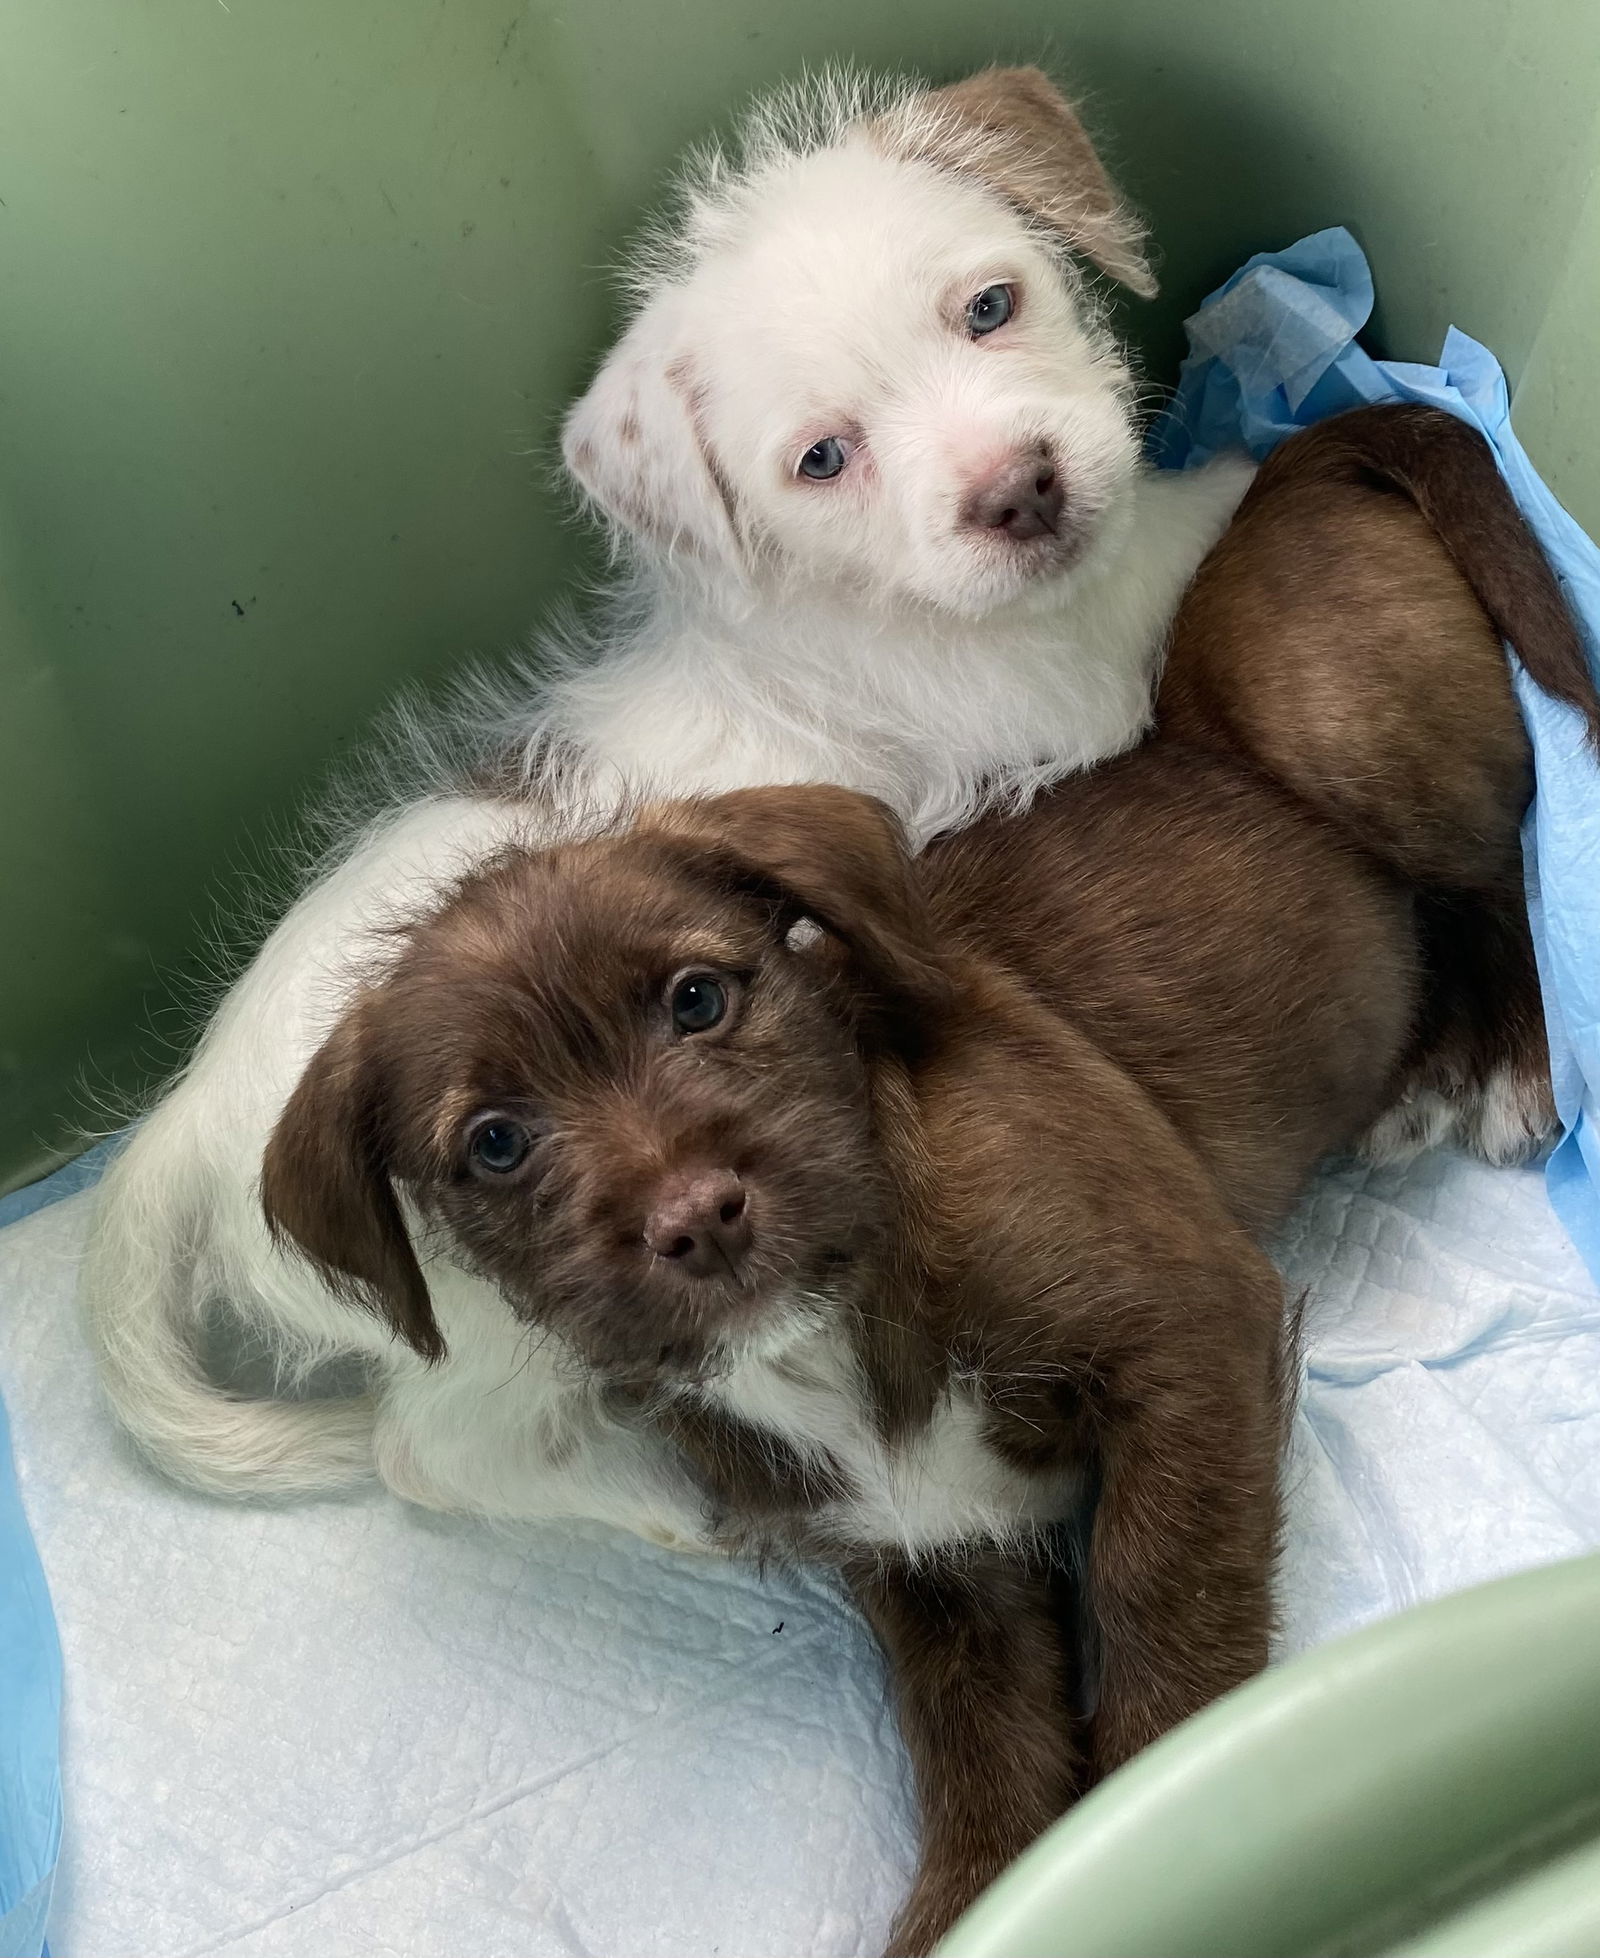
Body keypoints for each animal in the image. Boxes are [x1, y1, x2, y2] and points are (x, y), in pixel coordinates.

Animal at [81, 57, 1253, 1495]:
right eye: (822, 458)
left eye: (991, 306)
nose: (1019, 491)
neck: (857, 598)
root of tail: (184, 1121)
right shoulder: (1085, 676)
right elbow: (1203, 521)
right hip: (494, 1322)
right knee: (435, 1454)